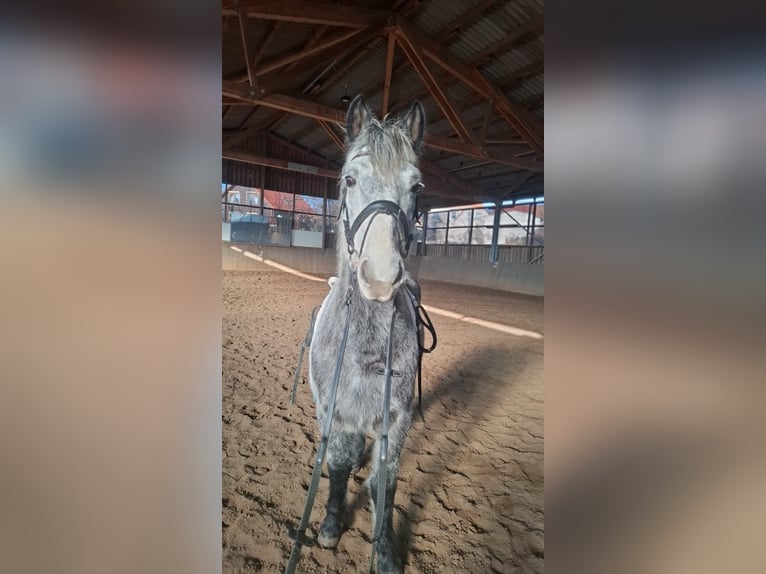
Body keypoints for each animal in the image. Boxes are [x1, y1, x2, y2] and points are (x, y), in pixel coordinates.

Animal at [286, 94, 426, 574]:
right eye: (350, 178)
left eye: (416, 187)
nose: (381, 278)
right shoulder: (335, 411)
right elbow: (340, 465)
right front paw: (330, 527)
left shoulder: (396, 420)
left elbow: (385, 479)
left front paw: (383, 552)